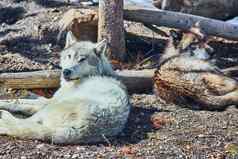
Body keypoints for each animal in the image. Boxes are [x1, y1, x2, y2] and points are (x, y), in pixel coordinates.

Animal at [0, 31, 130, 144]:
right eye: (69, 56)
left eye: (82, 59)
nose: (66, 71)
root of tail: (79, 130)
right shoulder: (49, 99)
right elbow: (28, 99)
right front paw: (27, 94)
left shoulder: (49, 102)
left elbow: (20, 103)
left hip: (50, 108)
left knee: (23, 122)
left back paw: (4, 117)